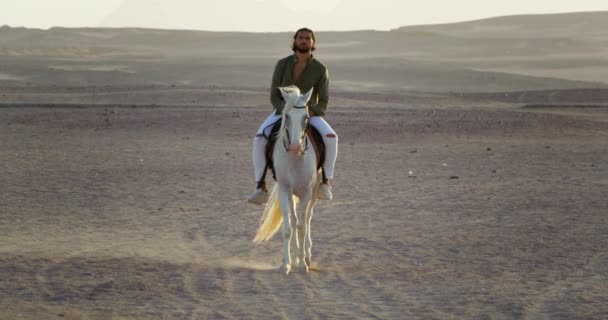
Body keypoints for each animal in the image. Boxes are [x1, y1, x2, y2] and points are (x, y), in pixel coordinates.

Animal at [253, 85, 324, 276]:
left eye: (306, 117)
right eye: (287, 116)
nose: (294, 147)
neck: (295, 159)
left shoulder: (306, 192)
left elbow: (302, 226)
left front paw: (302, 264)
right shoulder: (285, 190)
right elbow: (288, 228)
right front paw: (286, 264)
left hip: (314, 192)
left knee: (307, 219)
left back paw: (306, 255)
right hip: (293, 194)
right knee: (293, 219)